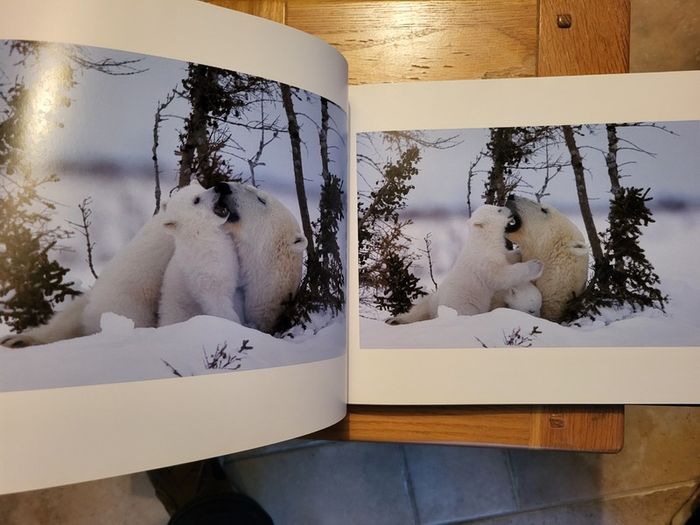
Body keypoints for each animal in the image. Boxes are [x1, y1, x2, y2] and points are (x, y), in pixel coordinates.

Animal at [388, 205, 543, 325]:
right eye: (499, 210)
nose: (510, 209)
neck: (483, 242)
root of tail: (439, 312)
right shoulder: (483, 261)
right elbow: (500, 276)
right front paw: (536, 265)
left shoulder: (498, 252)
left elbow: (508, 257)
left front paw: (520, 252)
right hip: (463, 305)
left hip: (433, 300)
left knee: (419, 308)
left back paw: (396, 319)